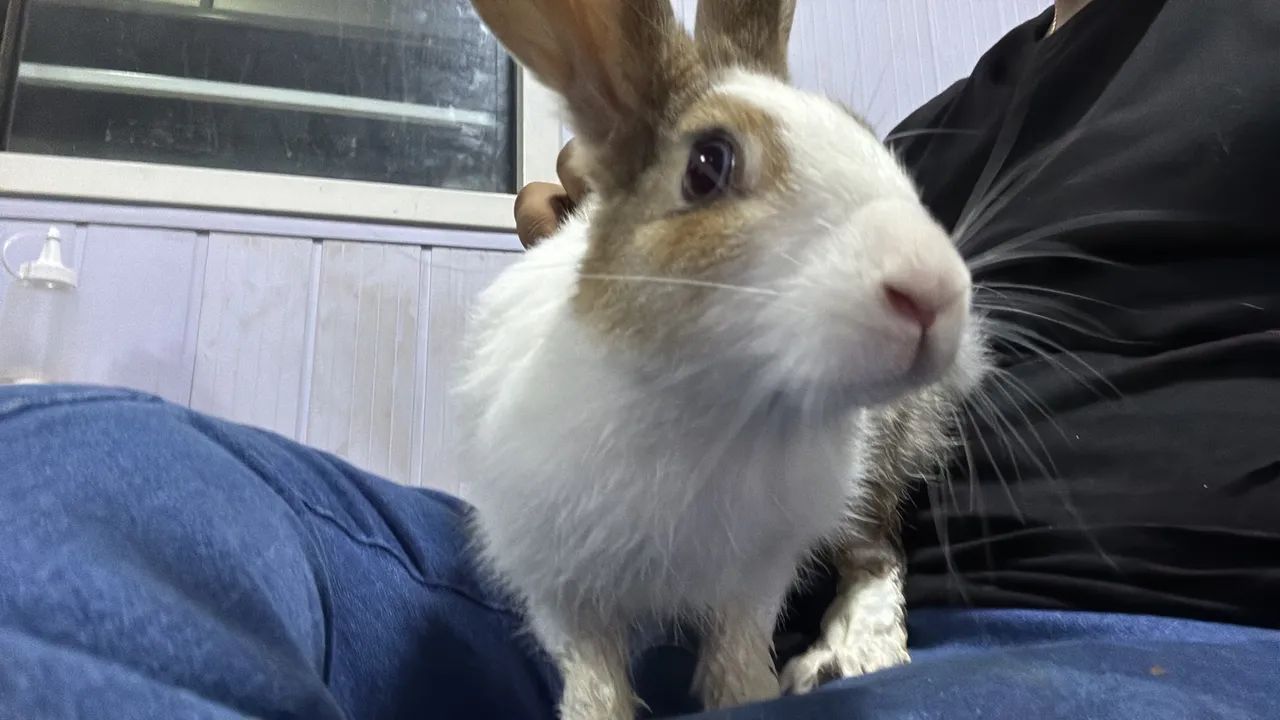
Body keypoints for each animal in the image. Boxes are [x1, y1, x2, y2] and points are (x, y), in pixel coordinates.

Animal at [455, 0, 989, 717]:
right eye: (709, 164)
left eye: (867, 136)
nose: (936, 289)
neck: (714, 403)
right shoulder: (560, 584)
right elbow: (594, 674)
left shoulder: (757, 571)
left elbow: (738, 649)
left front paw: (750, 696)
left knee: (876, 556)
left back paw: (850, 653)